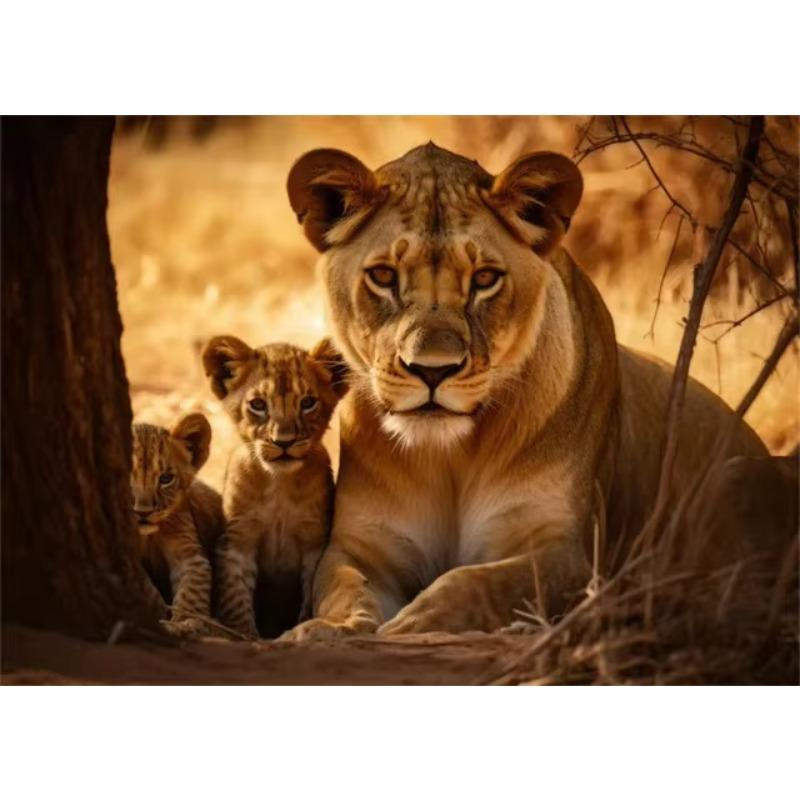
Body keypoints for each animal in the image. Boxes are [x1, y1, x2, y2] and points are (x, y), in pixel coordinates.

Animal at [278, 142, 769, 642]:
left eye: (484, 279)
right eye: (383, 276)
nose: (432, 370)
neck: (448, 456)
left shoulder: (566, 552)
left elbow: (481, 582)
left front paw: (415, 623)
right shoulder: (362, 545)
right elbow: (342, 586)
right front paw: (325, 628)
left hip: (734, 475)